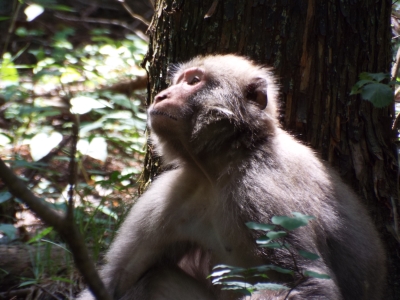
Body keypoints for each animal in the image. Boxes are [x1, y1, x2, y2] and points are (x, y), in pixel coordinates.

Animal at [76, 55, 386, 298]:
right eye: (180, 81)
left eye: (194, 81)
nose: (161, 96)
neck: (222, 168)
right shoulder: (174, 192)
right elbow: (115, 279)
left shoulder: (265, 194)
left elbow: (305, 283)